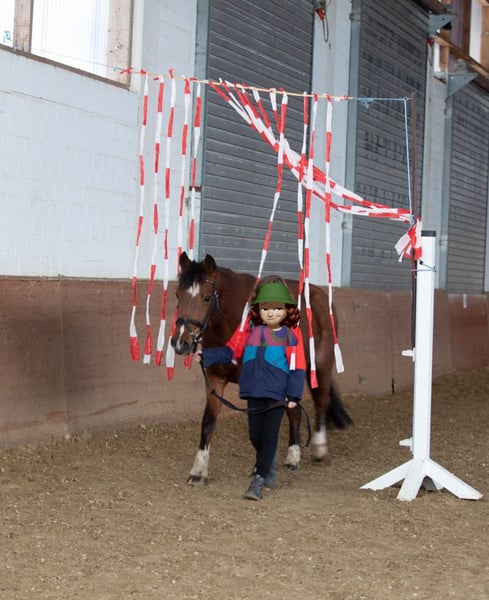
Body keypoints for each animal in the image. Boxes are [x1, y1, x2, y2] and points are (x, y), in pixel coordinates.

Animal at [171, 252, 352, 485]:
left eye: (207, 297)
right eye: (178, 295)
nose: (180, 343)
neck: (236, 323)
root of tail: (321, 295)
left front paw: (260, 467)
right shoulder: (214, 379)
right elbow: (209, 421)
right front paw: (198, 471)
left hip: (320, 363)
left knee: (321, 400)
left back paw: (319, 448)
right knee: (294, 411)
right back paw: (293, 456)